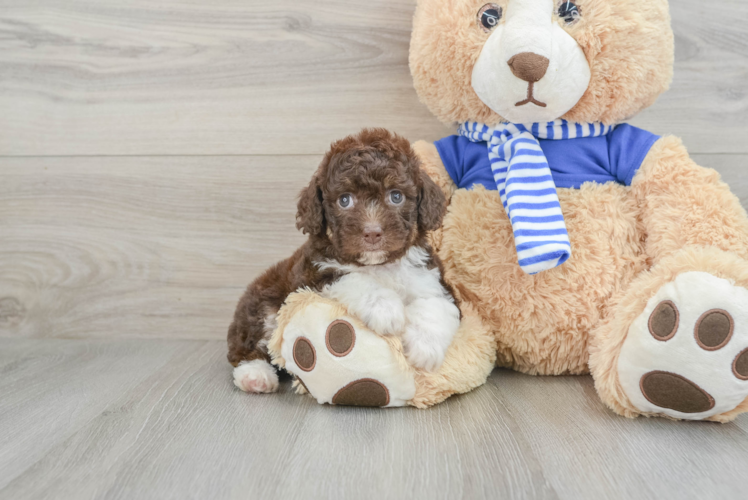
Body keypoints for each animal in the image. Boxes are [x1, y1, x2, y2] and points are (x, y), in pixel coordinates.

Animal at [226, 129, 462, 394]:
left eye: (396, 196)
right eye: (345, 200)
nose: (372, 233)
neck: (378, 265)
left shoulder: (432, 278)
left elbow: (435, 304)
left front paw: (425, 347)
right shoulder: (315, 274)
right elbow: (354, 279)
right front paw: (386, 310)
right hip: (263, 306)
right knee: (249, 345)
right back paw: (254, 375)